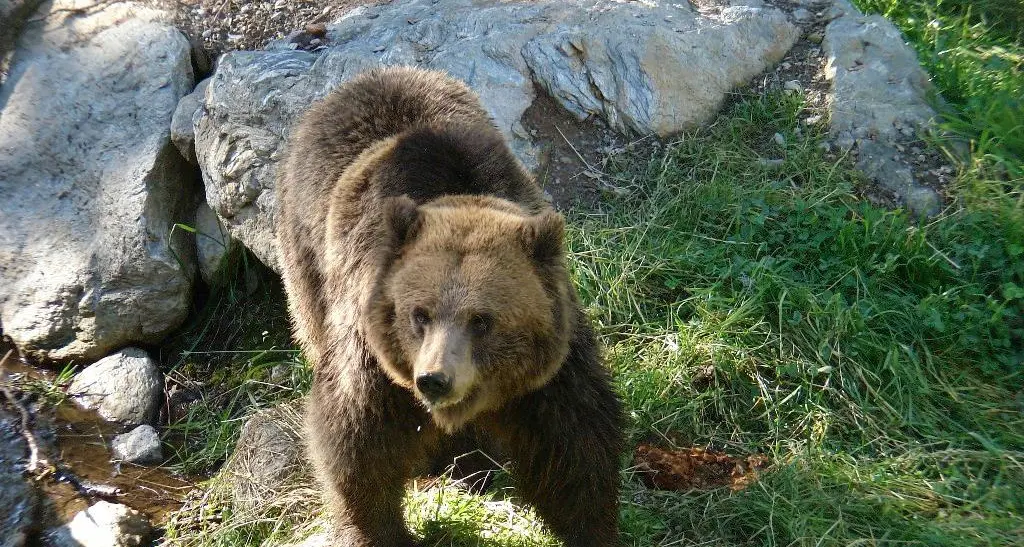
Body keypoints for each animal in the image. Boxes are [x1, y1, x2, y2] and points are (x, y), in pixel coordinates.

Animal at [275, 66, 623, 547]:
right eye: (419, 315)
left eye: (482, 321)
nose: (434, 379)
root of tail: (362, 79)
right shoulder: (373, 354)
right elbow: (358, 443)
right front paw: (379, 531)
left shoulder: (550, 368)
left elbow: (573, 443)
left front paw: (590, 527)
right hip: (306, 258)